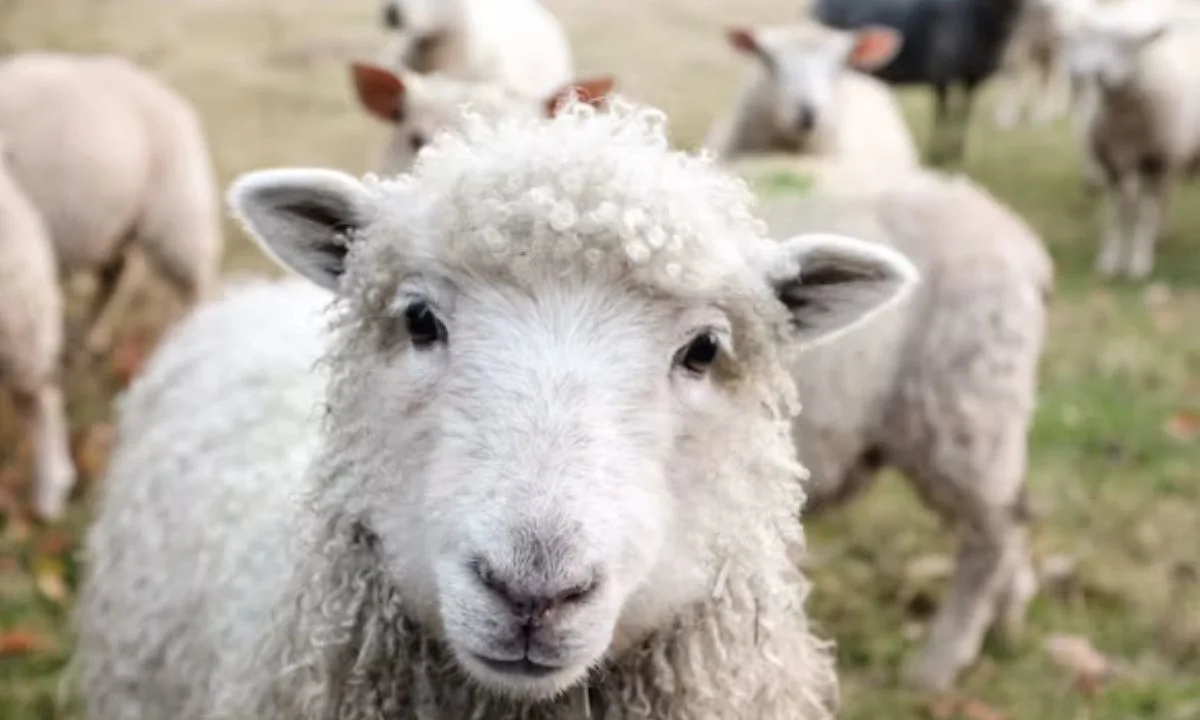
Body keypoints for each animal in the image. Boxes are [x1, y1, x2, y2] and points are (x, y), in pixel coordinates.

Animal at [0, 51, 223, 357]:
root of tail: (172, 99)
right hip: (112, 224)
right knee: (116, 275)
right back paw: (91, 337)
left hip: (176, 212)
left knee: (195, 282)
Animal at [809, 0, 1028, 166]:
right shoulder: (942, 74)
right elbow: (943, 115)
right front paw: (936, 154)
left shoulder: (973, 78)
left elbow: (963, 115)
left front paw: (956, 153)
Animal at [1058, 0, 1200, 279]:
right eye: (1092, 39)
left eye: (1130, 44)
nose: (1098, 73)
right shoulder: (1111, 164)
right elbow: (1116, 214)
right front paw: (1110, 260)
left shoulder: (1156, 162)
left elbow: (1144, 214)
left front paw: (1139, 263)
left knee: (1161, 199)